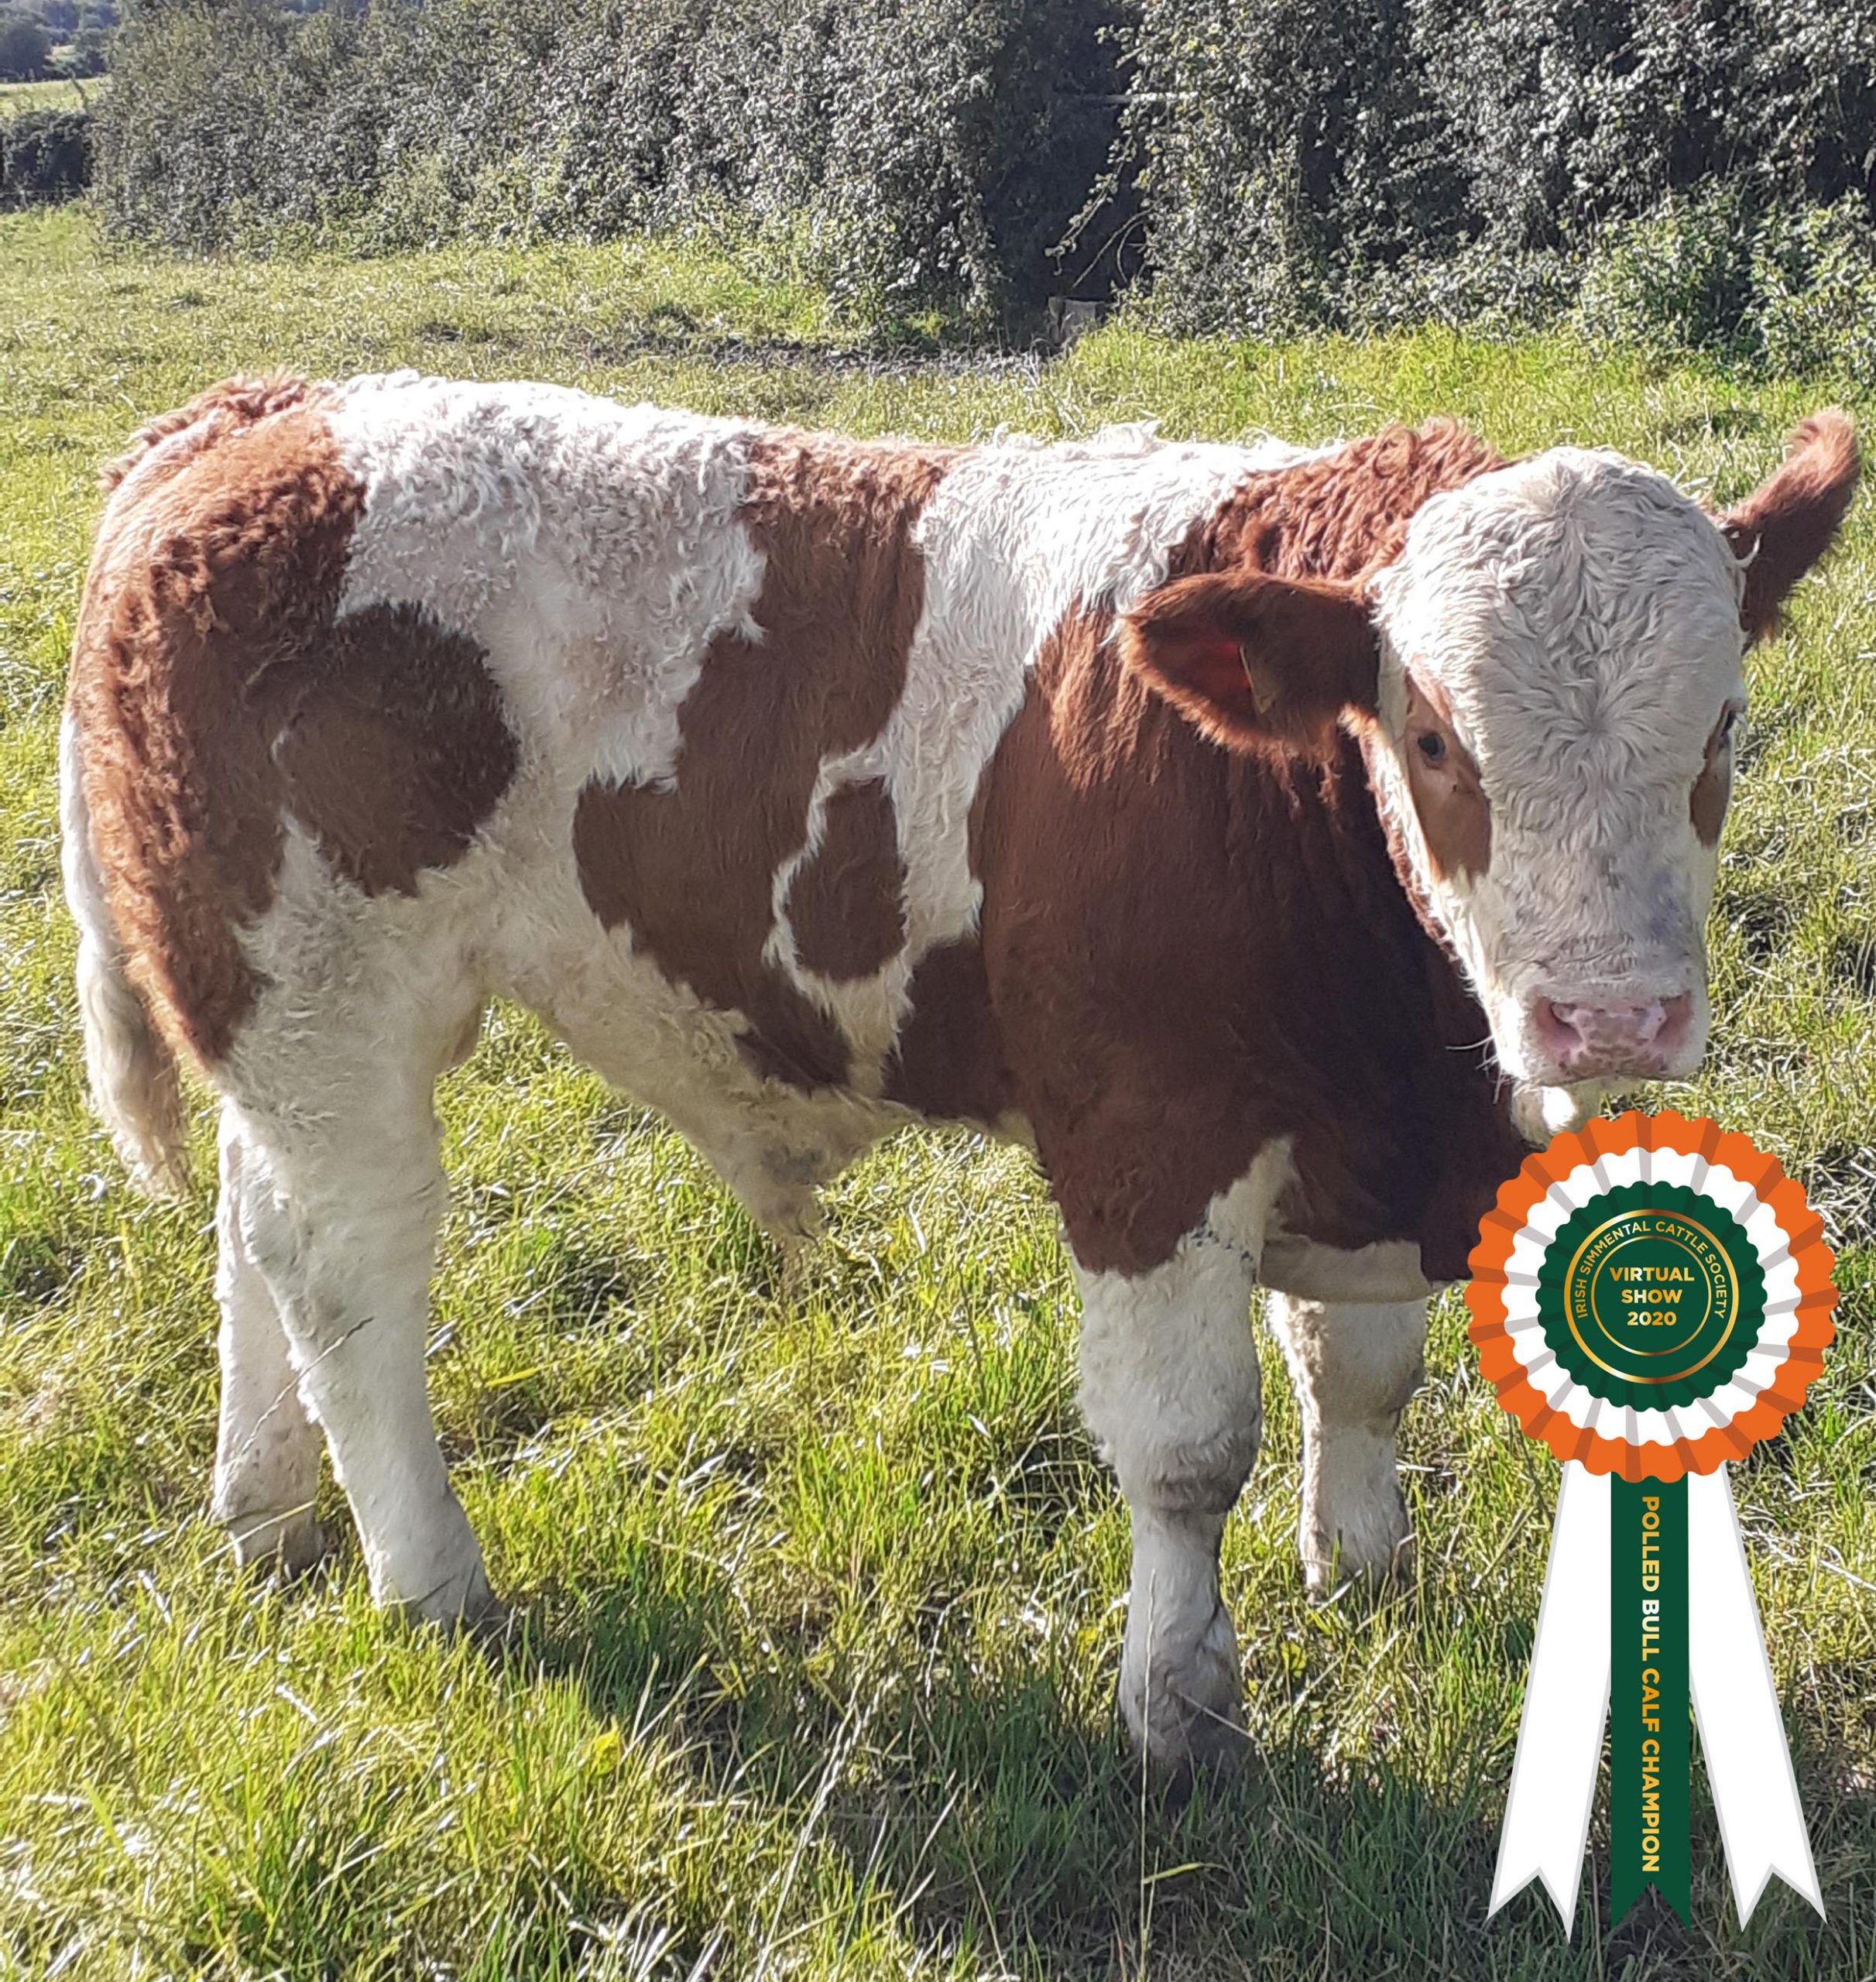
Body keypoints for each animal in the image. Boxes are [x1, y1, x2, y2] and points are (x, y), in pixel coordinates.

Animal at [60, 374, 1857, 1775]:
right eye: (1430, 743)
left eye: (1718, 731)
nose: (1608, 1020)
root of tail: (264, 417)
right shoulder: (1146, 1137)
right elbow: (1185, 1445)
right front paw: (1181, 1709)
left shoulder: (1363, 1140)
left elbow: (1359, 1377)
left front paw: (1358, 1572)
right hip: (325, 998)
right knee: (347, 1275)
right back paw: (428, 1577)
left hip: (284, 1026)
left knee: (254, 1229)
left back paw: (268, 1508)